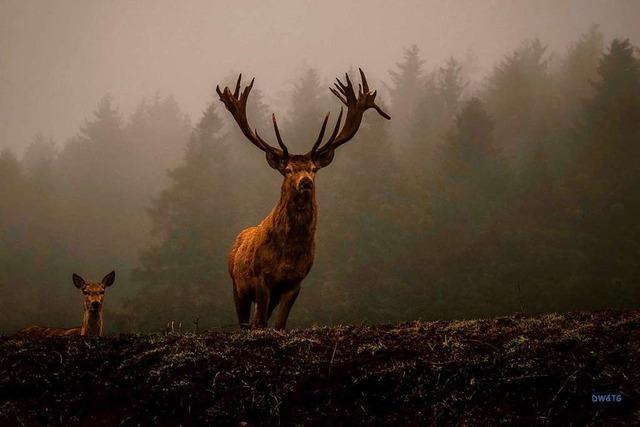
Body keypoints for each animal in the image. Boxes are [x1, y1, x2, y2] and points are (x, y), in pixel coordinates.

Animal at [218, 68, 390, 330]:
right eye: (288, 169)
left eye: (313, 168)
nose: (306, 182)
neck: (289, 254)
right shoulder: (261, 278)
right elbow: (260, 323)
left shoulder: (295, 283)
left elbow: (279, 324)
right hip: (237, 286)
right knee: (245, 321)